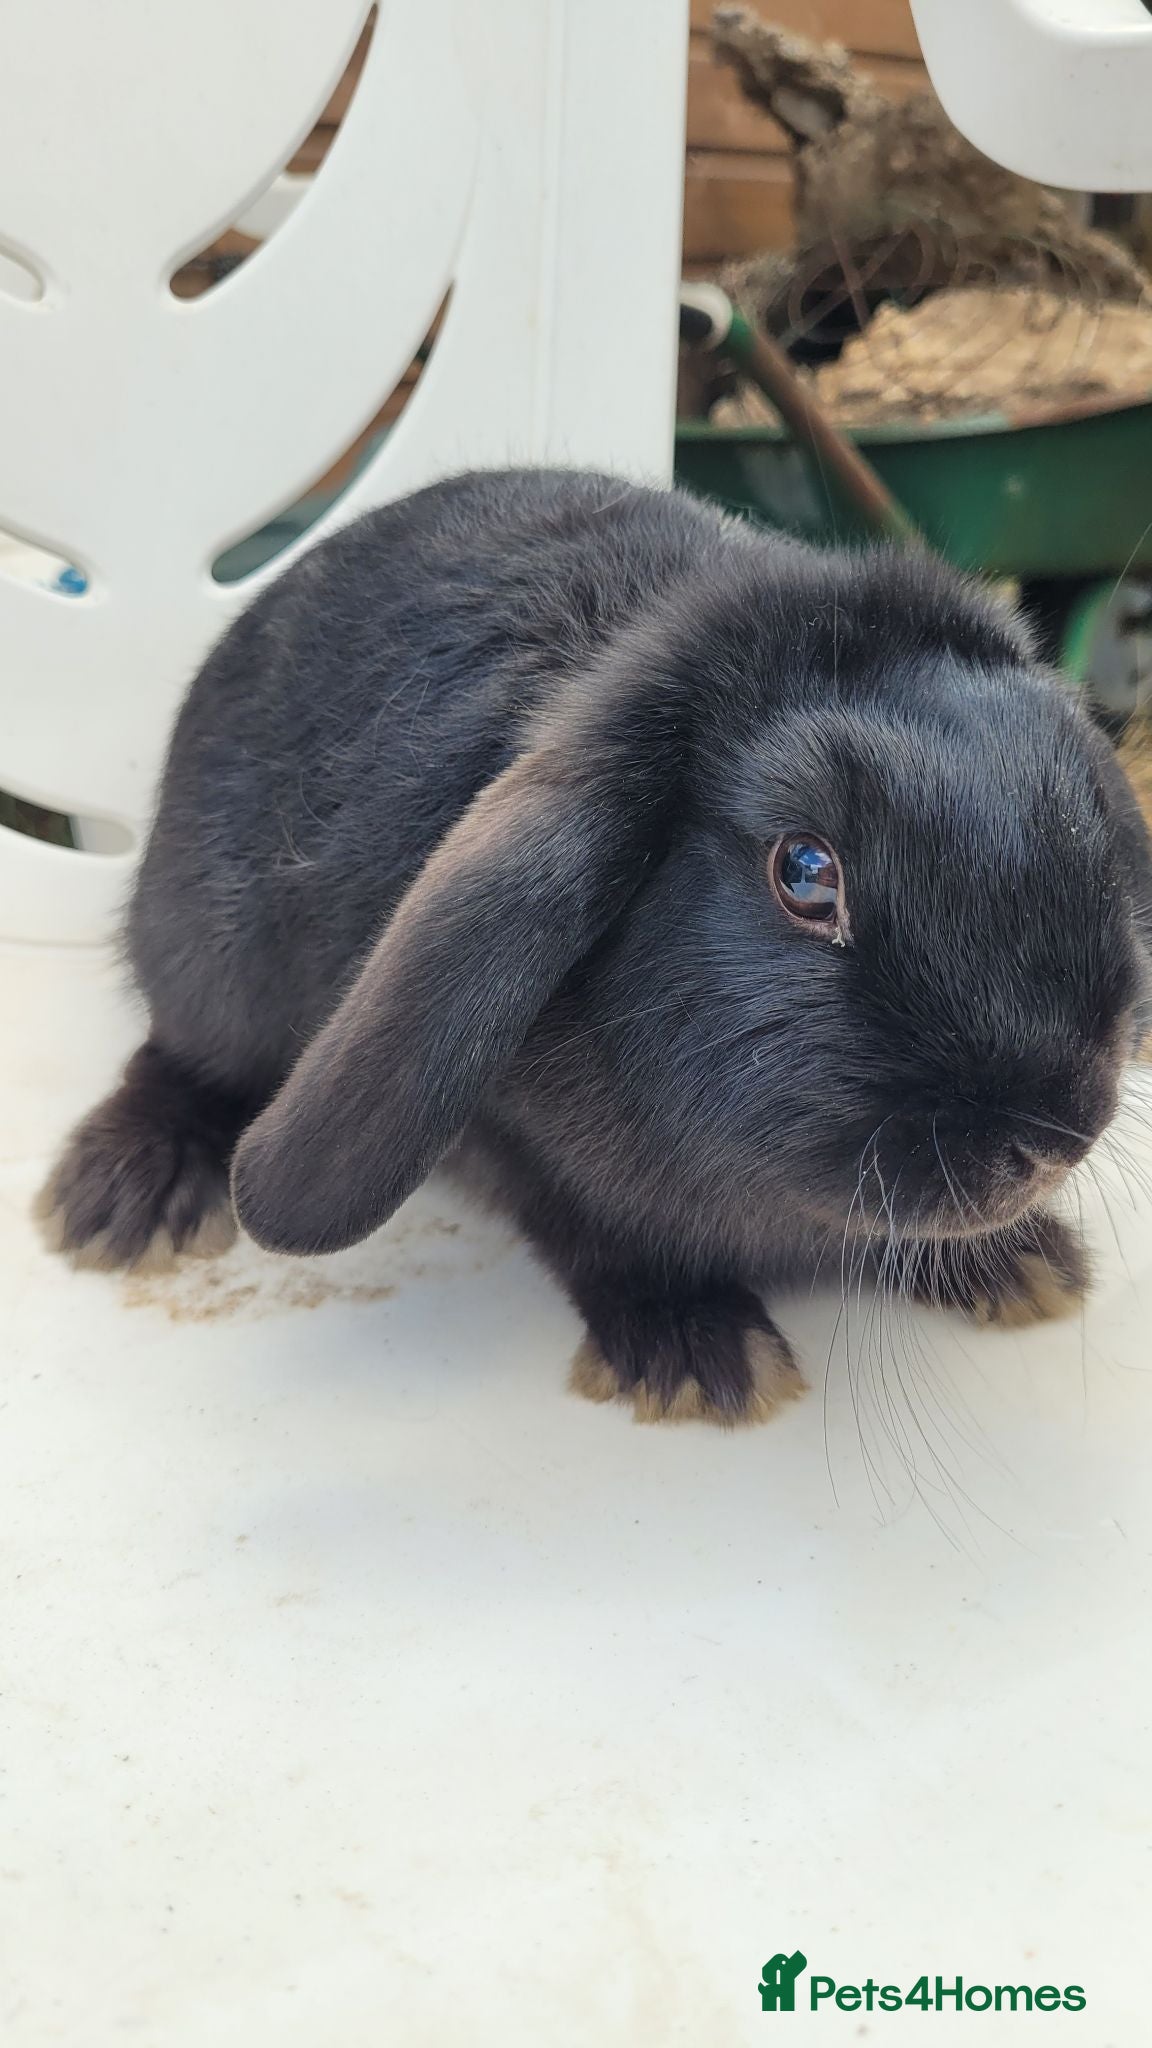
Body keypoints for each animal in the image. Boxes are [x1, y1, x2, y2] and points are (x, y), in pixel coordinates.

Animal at [38, 467, 1152, 1426]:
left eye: (1086, 813)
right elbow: (602, 1236)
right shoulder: (528, 1154)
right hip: (207, 958)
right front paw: (699, 1353)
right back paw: (125, 1198)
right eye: (804, 871)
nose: (1052, 1138)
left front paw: (1020, 1260)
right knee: (179, 1056)